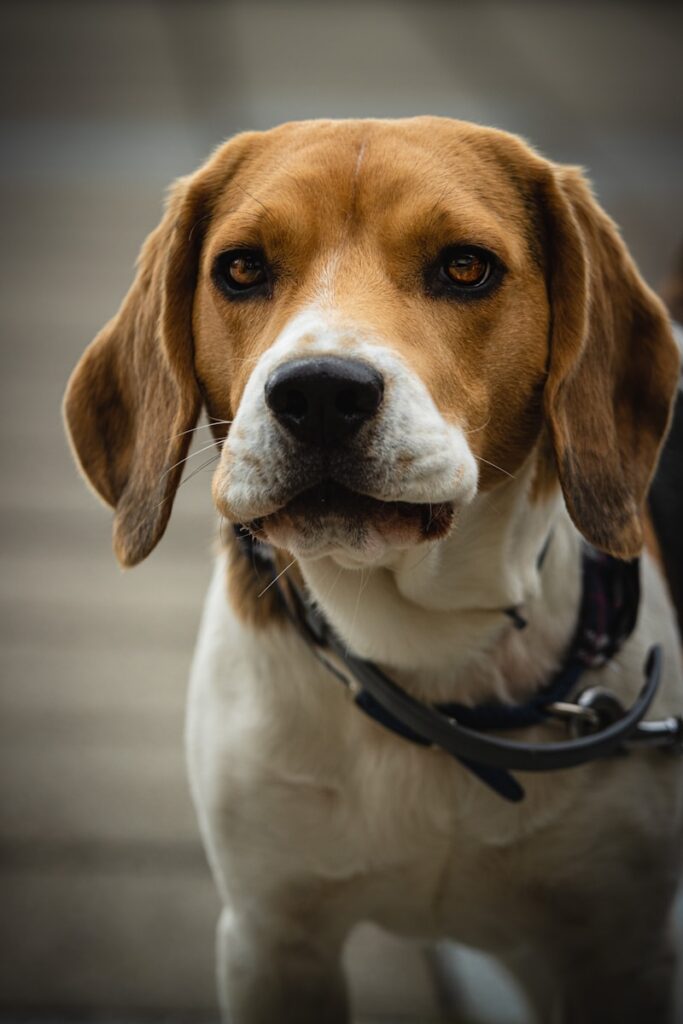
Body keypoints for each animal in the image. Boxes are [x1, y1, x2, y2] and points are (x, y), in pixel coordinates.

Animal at [63, 119, 683, 1024]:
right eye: (241, 268)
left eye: (464, 267)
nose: (319, 392)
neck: (424, 655)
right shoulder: (274, 937)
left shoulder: (621, 949)